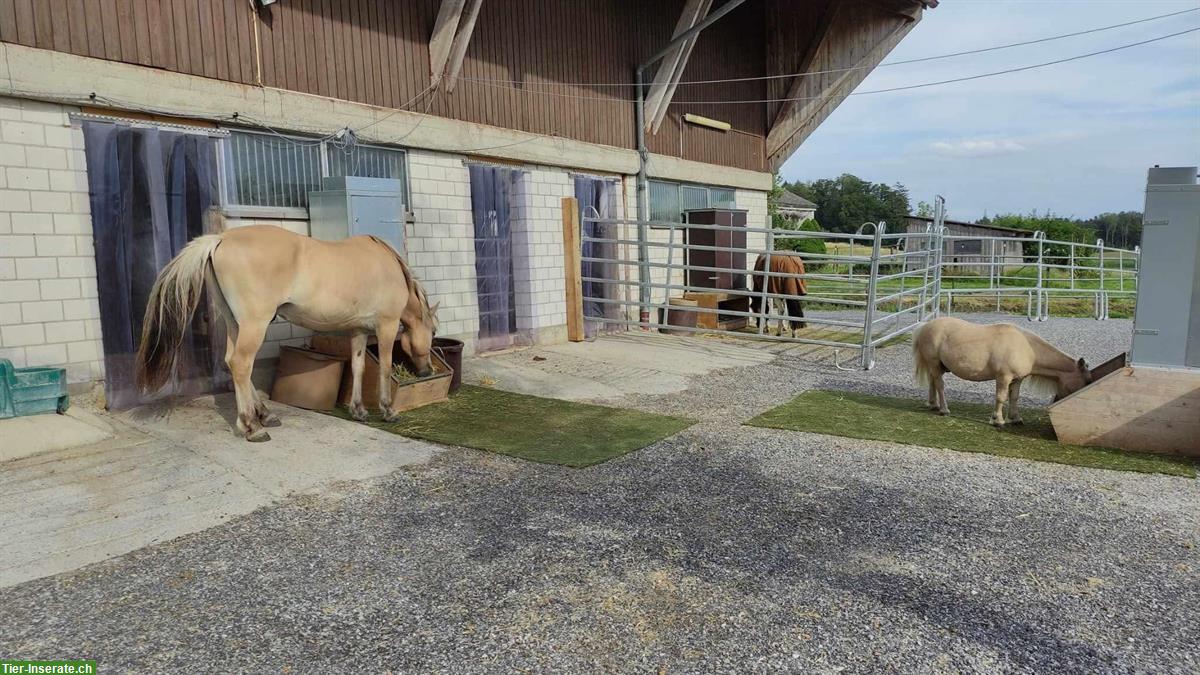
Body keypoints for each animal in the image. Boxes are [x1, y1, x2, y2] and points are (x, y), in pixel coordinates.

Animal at [133, 220, 441, 441]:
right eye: (434, 332)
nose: (426, 372)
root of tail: (220, 239)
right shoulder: (386, 326)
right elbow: (385, 368)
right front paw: (388, 411)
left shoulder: (358, 331)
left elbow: (359, 368)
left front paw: (359, 410)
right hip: (255, 323)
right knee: (241, 363)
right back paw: (252, 426)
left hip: (236, 323)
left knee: (232, 363)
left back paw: (264, 415)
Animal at [912, 314, 1094, 425]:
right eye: (1087, 380)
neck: (1027, 347)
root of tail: (926, 326)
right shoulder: (1003, 377)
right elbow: (1001, 397)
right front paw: (998, 420)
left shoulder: (1017, 379)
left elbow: (1014, 397)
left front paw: (1015, 418)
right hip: (935, 364)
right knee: (940, 385)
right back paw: (944, 409)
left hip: (938, 367)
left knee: (932, 382)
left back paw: (933, 405)